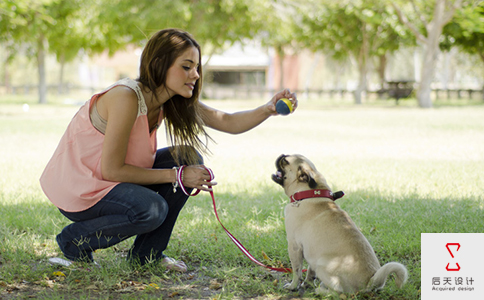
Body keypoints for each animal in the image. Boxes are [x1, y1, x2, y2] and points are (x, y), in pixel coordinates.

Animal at [274, 155, 406, 296]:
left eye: (285, 161)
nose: (281, 155)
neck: (307, 194)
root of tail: (369, 282)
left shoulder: (294, 246)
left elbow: (297, 271)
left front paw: (293, 286)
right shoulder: (311, 252)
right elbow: (309, 272)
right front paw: (307, 283)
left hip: (322, 266)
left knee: (339, 292)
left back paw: (320, 290)